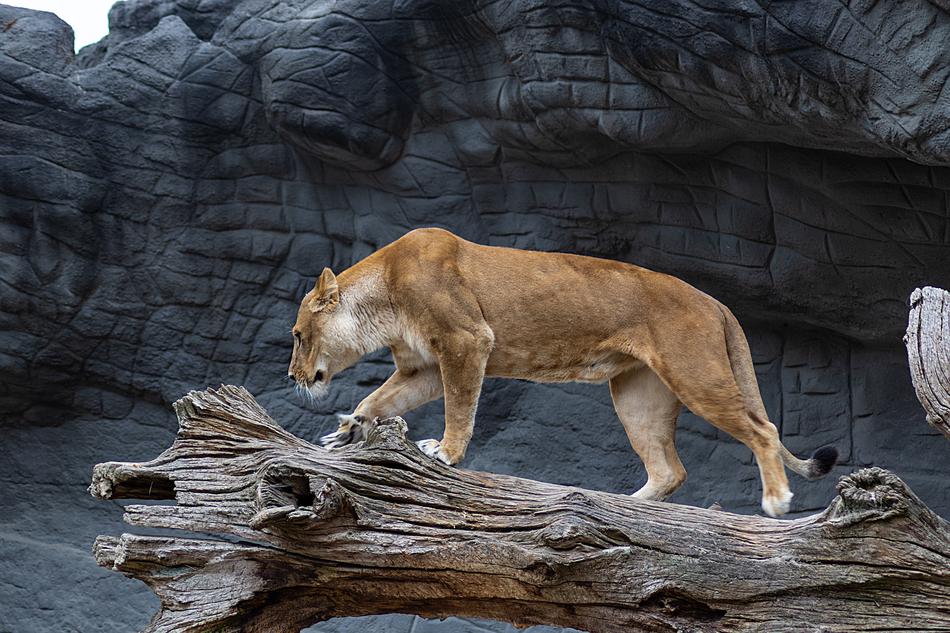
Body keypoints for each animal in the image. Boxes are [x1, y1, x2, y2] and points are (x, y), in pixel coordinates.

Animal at [288, 228, 837, 516]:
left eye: (296, 335)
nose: (293, 375)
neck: (382, 299)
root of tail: (715, 301)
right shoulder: (422, 366)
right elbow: (376, 401)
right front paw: (347, 432)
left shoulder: (468, 341)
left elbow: (460, 408)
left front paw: (443, 453)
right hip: (638, 394)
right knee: (670, 469)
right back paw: (622, 504)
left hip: (695, 373)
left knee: (763, 429)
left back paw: (776, 500)